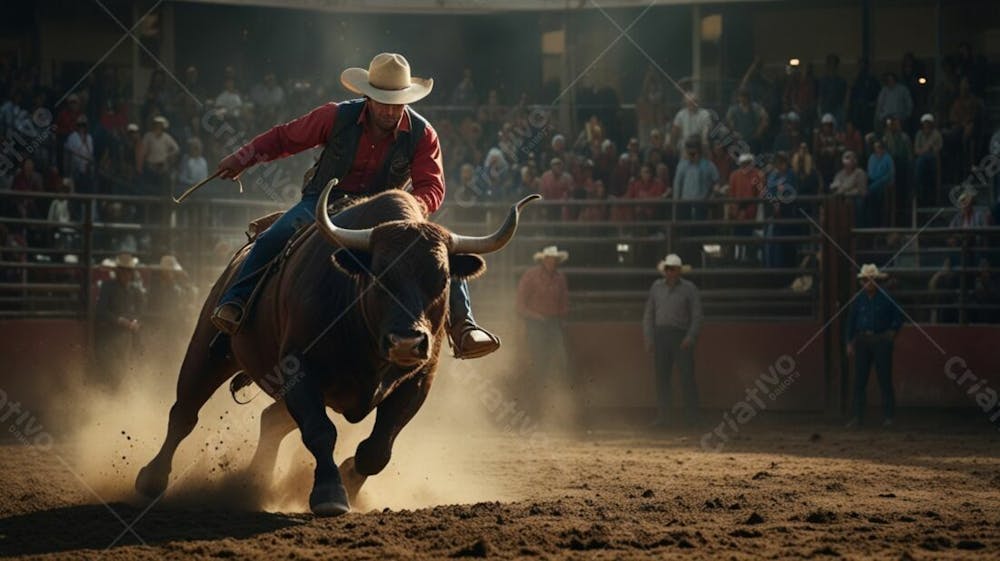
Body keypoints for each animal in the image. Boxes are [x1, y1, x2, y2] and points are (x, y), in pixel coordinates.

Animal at [135, 180, 540, 516]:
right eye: (378, 275)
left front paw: (348, 480)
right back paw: (152, 479)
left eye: (442, 279)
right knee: (184, 412)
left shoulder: (417, 382)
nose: (407, 341)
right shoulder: (299, 369)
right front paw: (330, 492)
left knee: (270, 421)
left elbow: (377, 450)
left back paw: (256, 479)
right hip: (210, 349)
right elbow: (320, 432)